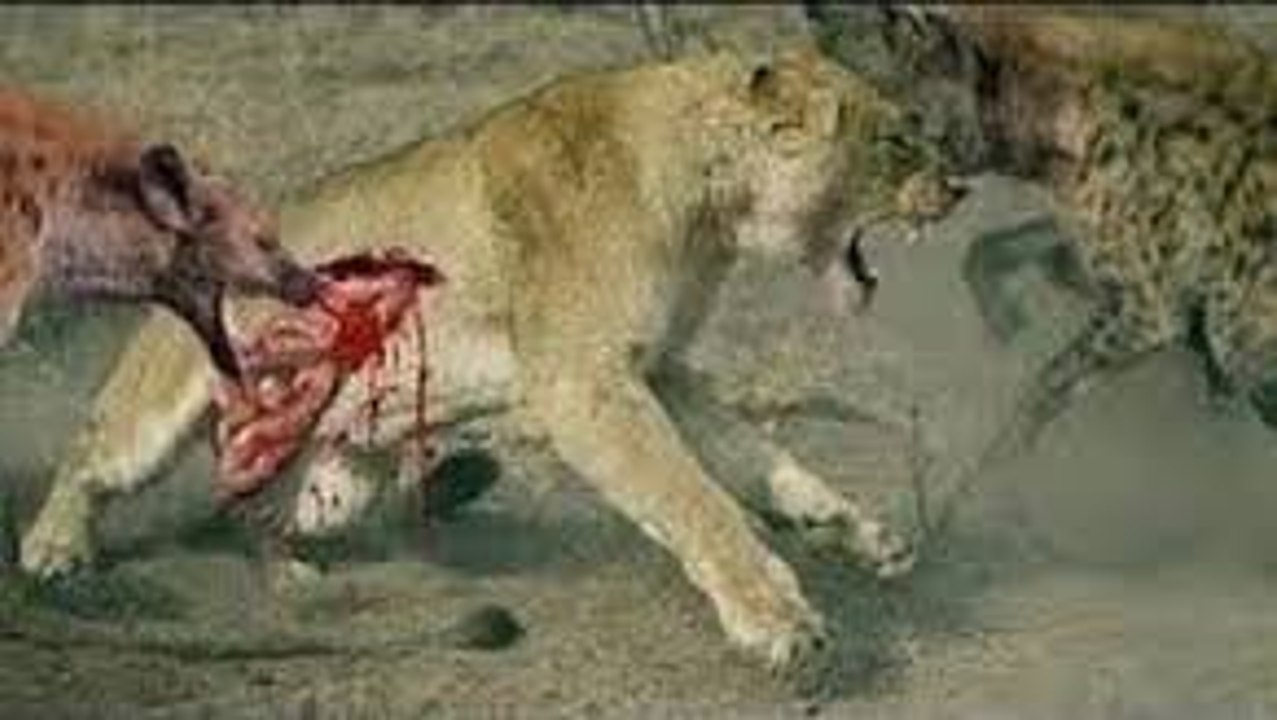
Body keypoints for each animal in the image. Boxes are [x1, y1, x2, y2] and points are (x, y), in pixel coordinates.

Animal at [19, 45, 963, 673]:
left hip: (336, 480)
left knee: (261, 516)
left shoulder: (655, 368)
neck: (710, 210)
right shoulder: (585, 385)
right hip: (159, 407)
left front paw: (857, 530)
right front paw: (774, 618)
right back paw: (53, 547)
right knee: (90, 452)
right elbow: (694, 500)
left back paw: (307, 569)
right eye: (895, 141)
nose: (958, 187)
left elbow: (756, 457)